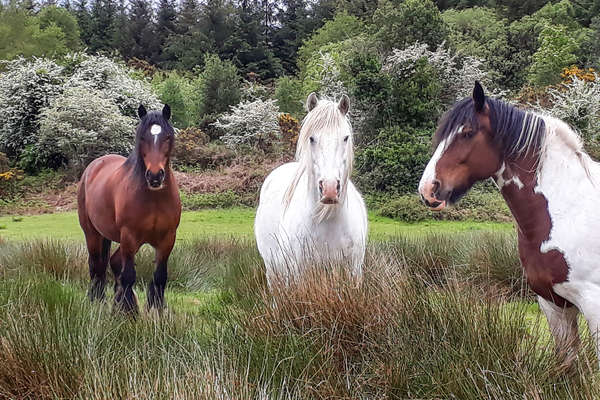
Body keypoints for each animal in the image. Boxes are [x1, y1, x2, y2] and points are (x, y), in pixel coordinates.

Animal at [77, 104, 180, 314]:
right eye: (142, 138)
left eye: (167, 137)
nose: (155, 176)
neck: (154, 198)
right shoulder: (129, 237)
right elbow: (129, 275)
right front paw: (127, 312)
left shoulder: (167, 240)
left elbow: (160, 277)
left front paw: (156, 310)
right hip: (93, 234)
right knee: (96, 266)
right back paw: (97, 300)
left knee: (113, 262)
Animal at [253, 93, 366, 288]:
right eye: (312, 138)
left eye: (345, 138)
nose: (329, 189)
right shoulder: (299, 275)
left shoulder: (354, 273)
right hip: (274, 271)